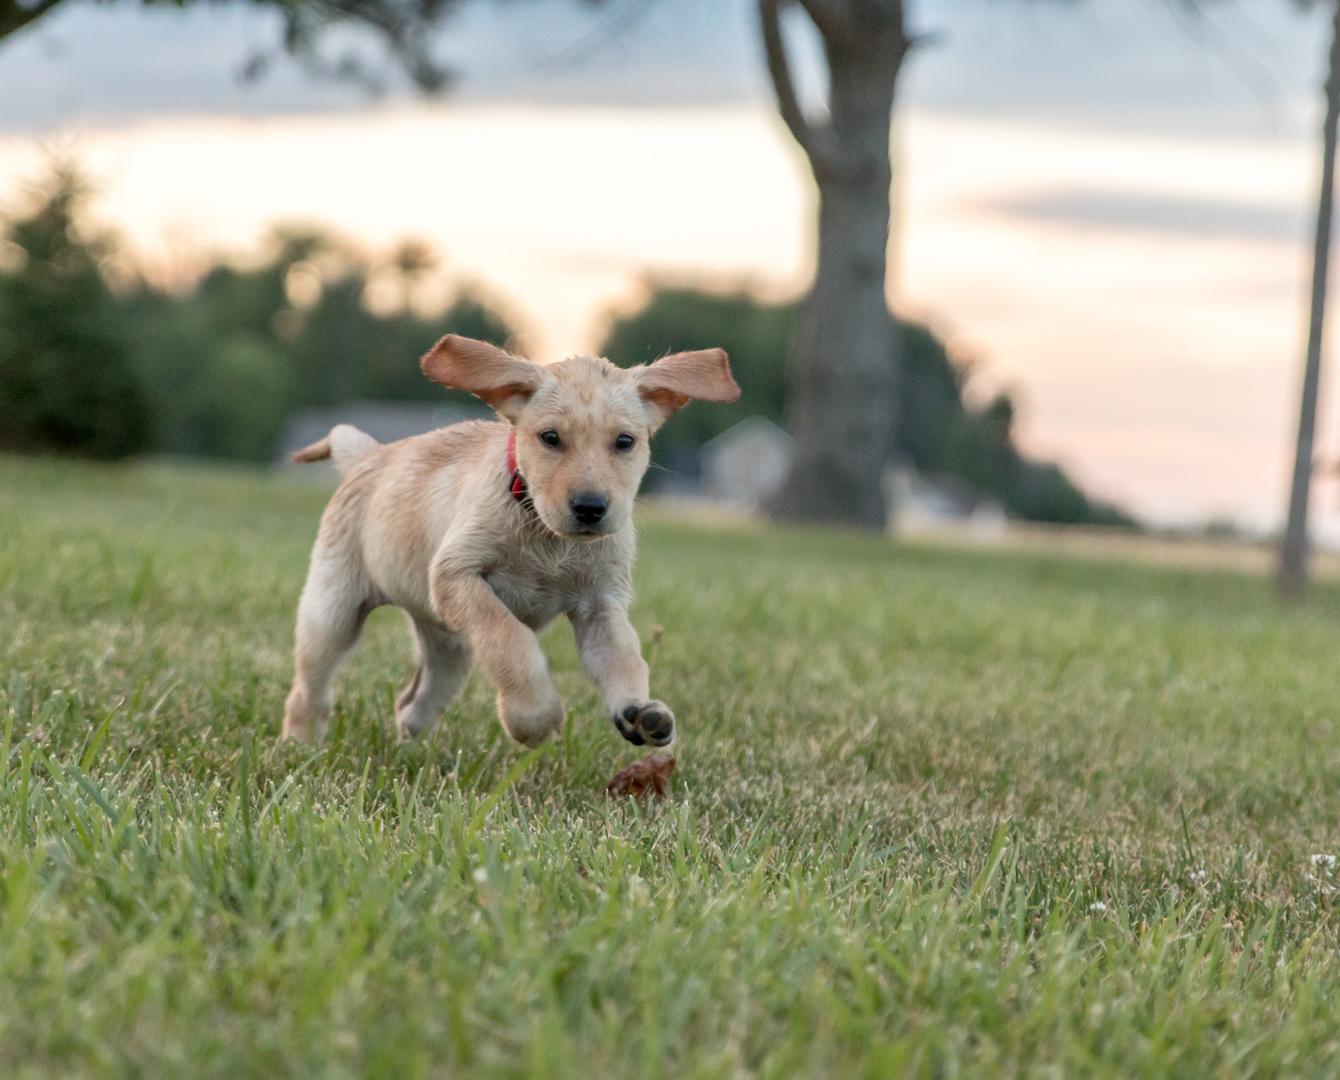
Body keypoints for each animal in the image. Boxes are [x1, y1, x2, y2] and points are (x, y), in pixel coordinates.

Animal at [285, 337, 745, 750]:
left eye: (625, 441)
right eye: (550, 438)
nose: (590, 507)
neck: (545, 534)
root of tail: (367, 458)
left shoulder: (601, 604)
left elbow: (625, 656)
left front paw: (640, 711)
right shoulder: (457, 575)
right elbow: (507, 636)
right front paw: (533, 715)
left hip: (448, 645)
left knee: (412, 703)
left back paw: (411, 753)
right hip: (332, 611)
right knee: (310, 688)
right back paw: (300, 746)